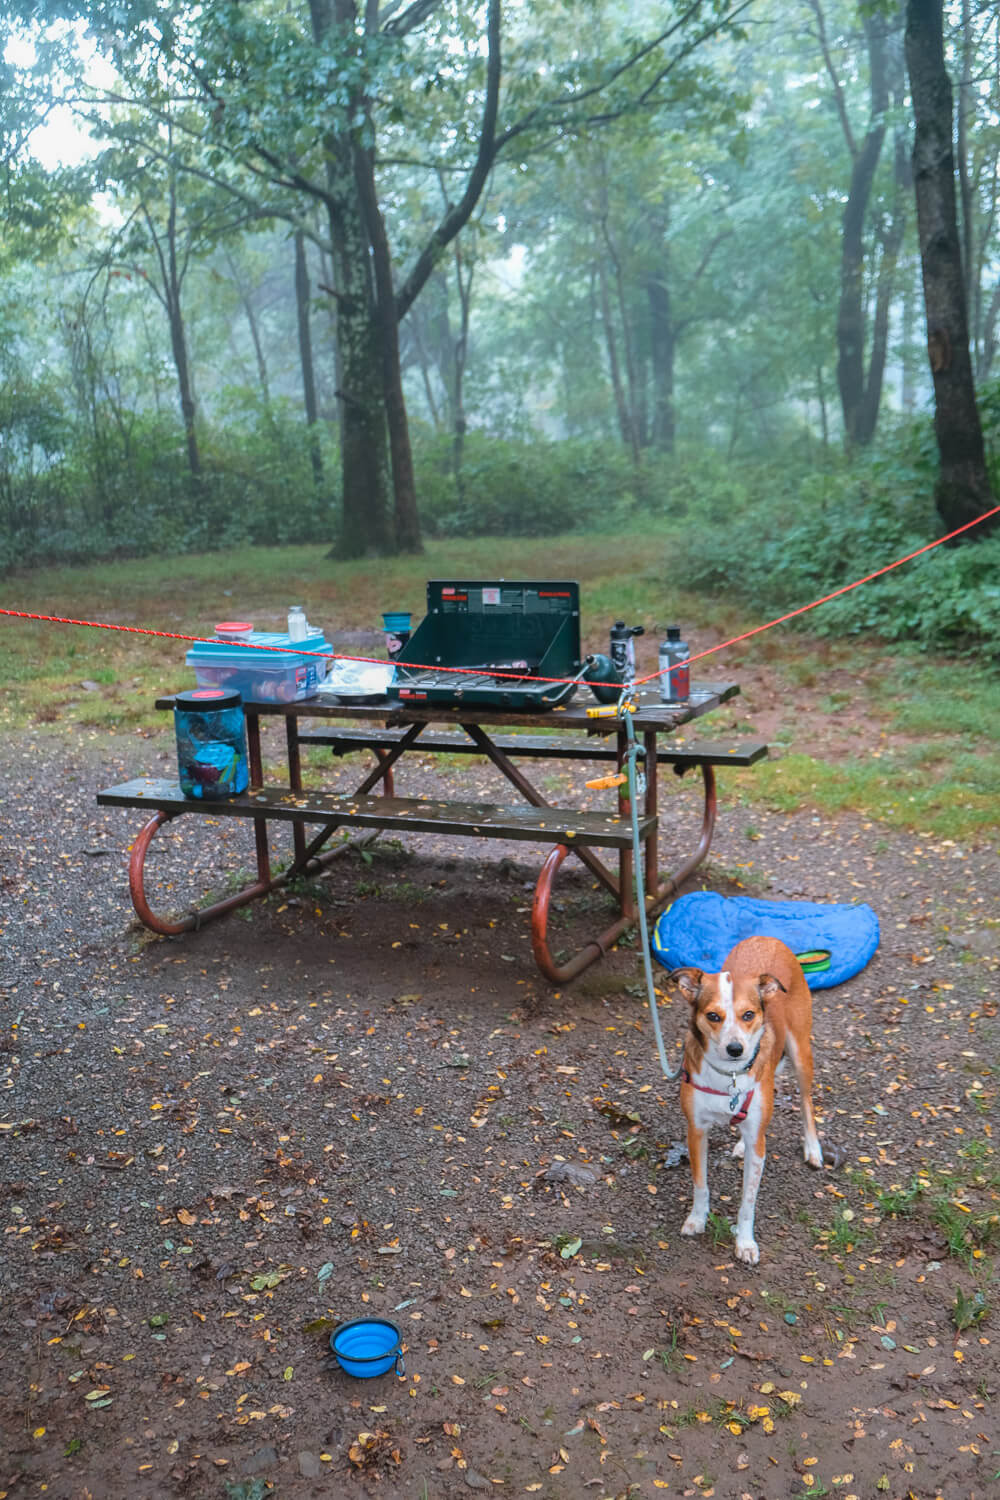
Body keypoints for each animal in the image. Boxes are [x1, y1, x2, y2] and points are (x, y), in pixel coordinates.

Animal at [668, 936, 827, 1266]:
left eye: (749, 1015)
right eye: (713, 1016)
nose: (735, 1049)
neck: (728, 1076)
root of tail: (767, 938)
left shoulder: (757, 1153)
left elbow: (747, 1201)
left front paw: (744, 1242)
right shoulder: (696, 1131)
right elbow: (700, 1185)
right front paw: (697, 1219)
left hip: (800, 1052)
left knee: (806, 1103)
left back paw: (813, 1149)